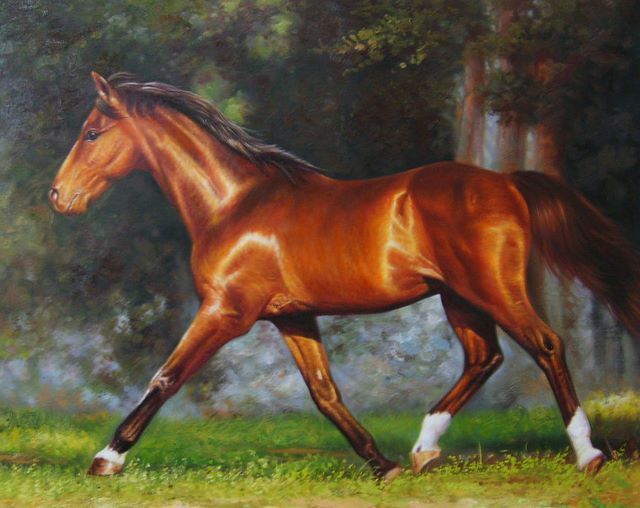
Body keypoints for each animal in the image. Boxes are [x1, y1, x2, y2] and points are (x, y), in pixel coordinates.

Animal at [49, 71, 640, 480]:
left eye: (92, 133)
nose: (59, 197)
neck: (234, 203)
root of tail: (508, 181)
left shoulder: (226, 312)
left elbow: (165, 378)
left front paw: (106, 458)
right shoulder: (293, 319)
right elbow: (326, 394)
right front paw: (383, 466)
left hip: (492, 290)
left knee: (545, 345)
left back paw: (589, 454)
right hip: (459, 299)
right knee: (484, 359)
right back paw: (423, 451)